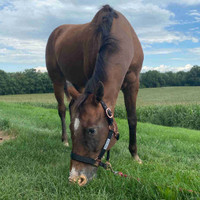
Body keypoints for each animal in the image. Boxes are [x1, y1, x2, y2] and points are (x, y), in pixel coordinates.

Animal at [45, 4, 142, 186]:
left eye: (91, 130)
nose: (76, 178)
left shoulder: (133, 83)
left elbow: (132, 118)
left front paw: (135, 155)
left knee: (70, 106)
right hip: (58, 80)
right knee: (62, 109)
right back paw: (64, 140)